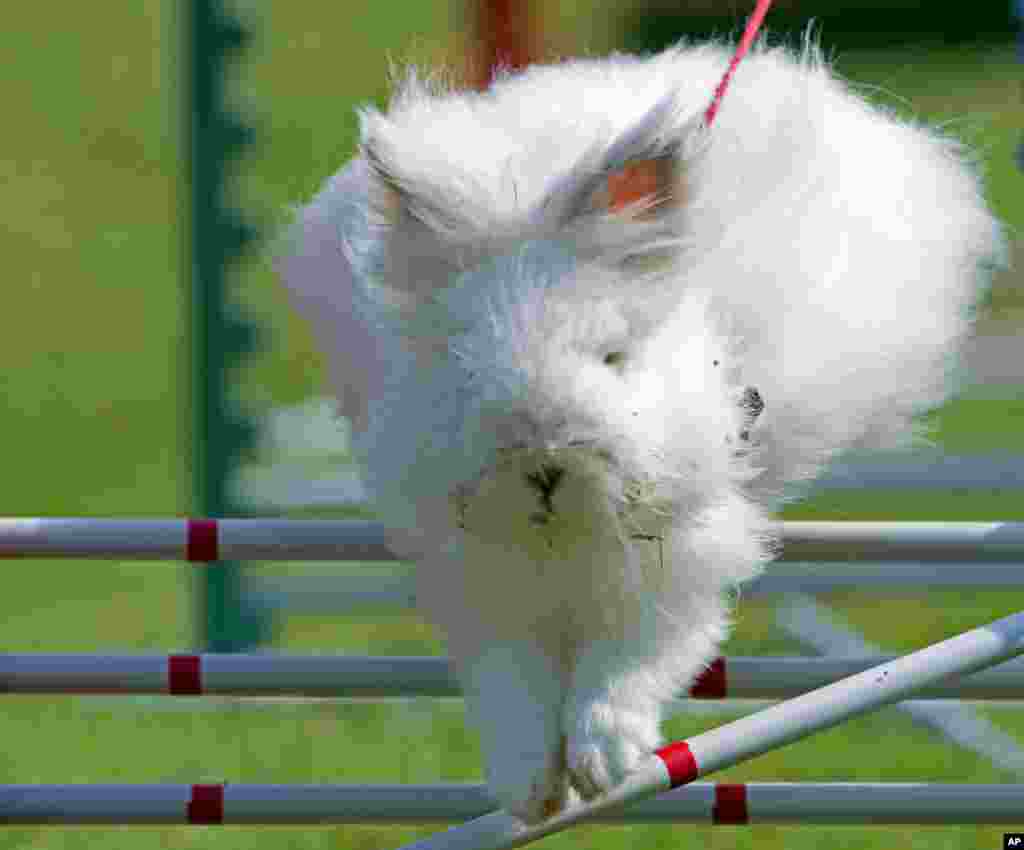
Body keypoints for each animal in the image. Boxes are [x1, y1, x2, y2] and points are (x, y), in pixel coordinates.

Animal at [272, 34, 999, 827]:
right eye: (459, 357)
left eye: (614, 358)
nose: (543, 460)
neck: (565, 535)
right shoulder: (476, 578)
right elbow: (512, 685)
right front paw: (529, 788)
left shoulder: (682, 559)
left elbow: (628, 664)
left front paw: (603, 764)